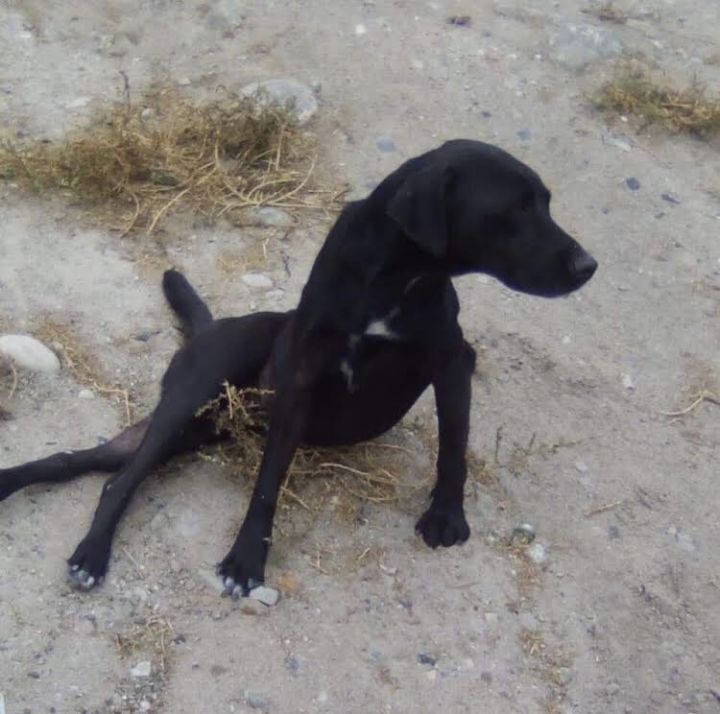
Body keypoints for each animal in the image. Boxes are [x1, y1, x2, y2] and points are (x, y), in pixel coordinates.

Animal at [0, 140, 596, 596]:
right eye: (516, 209)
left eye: (545, 203)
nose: (589, 266)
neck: (391, 276)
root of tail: (210, 326)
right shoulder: (302, 383)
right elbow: (268, 482)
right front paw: (245, 561)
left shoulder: (452, 362)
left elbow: (454, 444)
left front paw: (447, 515)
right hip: (191, 398)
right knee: (117, 481)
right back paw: (91, 553)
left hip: (188, 431)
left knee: (77, 462)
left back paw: (13, 485)